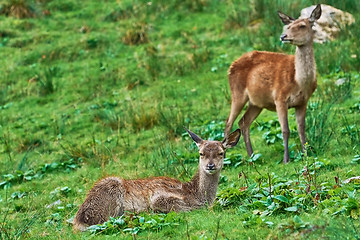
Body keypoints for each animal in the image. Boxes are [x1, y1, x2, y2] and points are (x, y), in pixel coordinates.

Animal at [72, 127, 242, 231]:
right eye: (201, 153)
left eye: (221, 153)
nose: (210, 166)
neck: (196, 194)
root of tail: (78, 220)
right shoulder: (159, 196)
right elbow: (184, 209)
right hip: (110, 194)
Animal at [224, 4, 322, 163]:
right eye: (288, 26)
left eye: (302, 25)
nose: (283, 36)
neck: (299, 82)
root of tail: (231, 66)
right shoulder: (280, 98)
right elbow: (285, 130)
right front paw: (286, 159)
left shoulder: (303, 102)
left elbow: (302, 129)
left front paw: (307, 154)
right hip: (237, 93)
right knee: (228, 122)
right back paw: (225, 158)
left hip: (256, 103)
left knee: (244, 122)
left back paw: (252, 156)